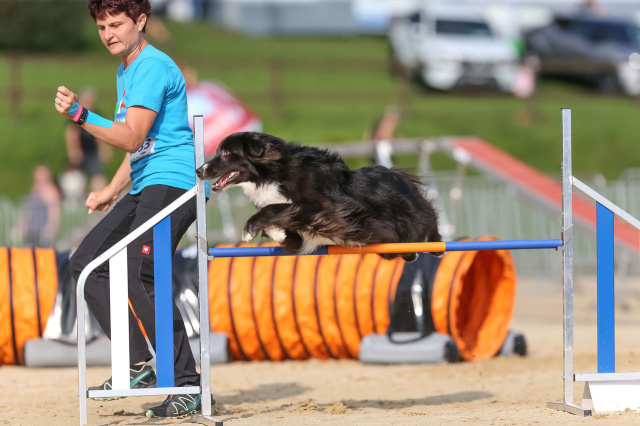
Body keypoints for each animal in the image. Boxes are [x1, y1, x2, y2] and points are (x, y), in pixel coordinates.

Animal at [195, 132, 443, 262]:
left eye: (227, 153)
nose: (198, 171)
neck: (275, 173)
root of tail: (400, 175)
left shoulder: (325, 209)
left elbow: (277, 208)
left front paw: (250, 228)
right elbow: (284, 226)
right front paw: (276, 232)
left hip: (411, 219)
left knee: (429, 218)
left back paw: (436, 247)